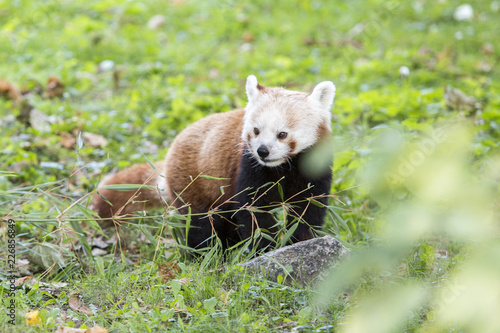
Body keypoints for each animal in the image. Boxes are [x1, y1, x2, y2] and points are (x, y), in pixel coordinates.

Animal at [94, 75, 336, 250]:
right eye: (256, 130)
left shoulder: (313, 168)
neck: (282, 168)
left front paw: (302, 240)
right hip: (195, 185)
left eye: (282, 134)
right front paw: (264, 248)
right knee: (201, 223)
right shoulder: (249, 168)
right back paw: (206, 253)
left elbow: (309, 208)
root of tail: (171, 152)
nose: (263, 151)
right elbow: (253, 212)